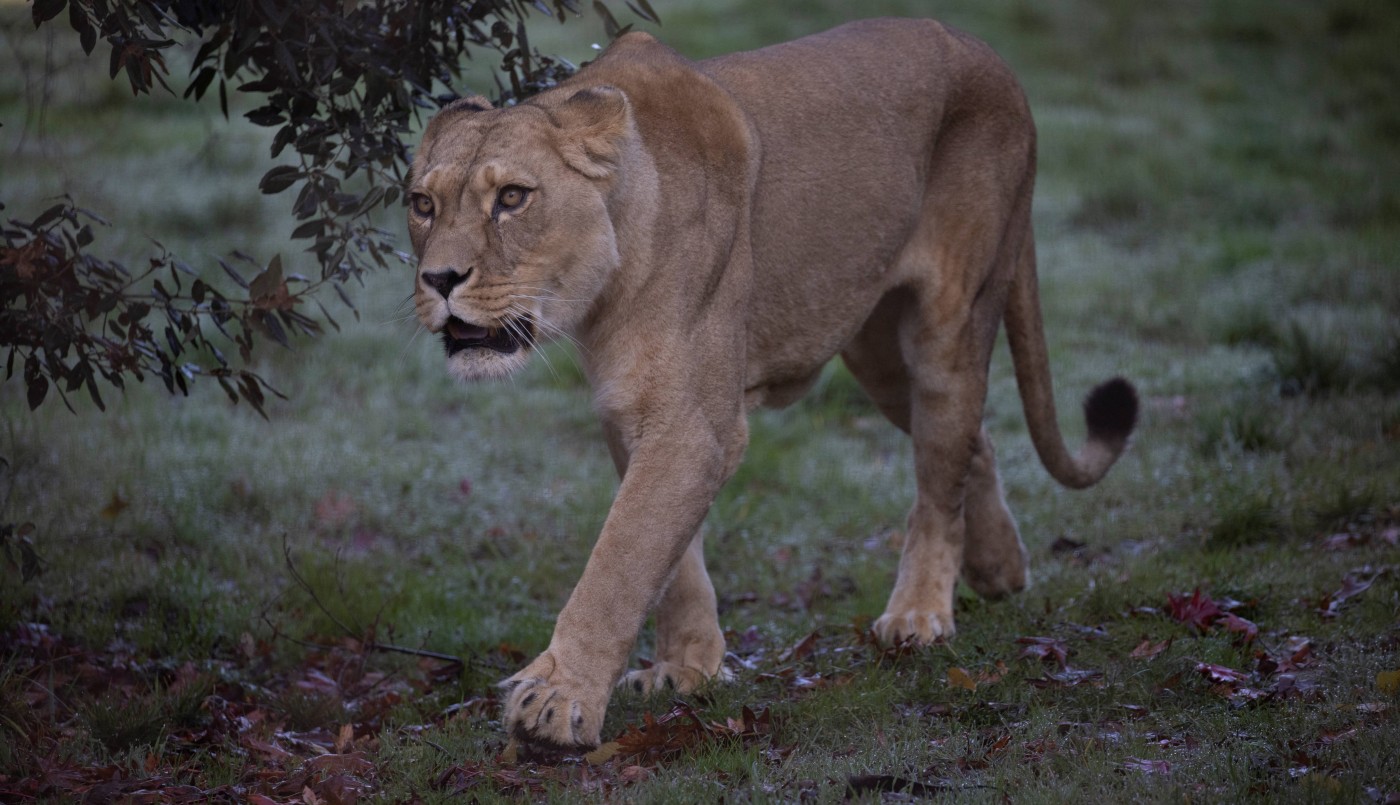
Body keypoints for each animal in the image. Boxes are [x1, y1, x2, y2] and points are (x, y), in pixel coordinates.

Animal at [406, 17, 1138, 751]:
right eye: (422, 204)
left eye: (512, 198)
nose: (439, 279)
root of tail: (988, 54)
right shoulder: (631, 410)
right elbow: (671, 561)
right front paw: (688, 666)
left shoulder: (692, 427)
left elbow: (620, 560)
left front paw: (558, 699)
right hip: (875, 350)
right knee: (966, 444)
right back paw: (999, 567)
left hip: (951, 317)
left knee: (940, 469)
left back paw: (919, 615)